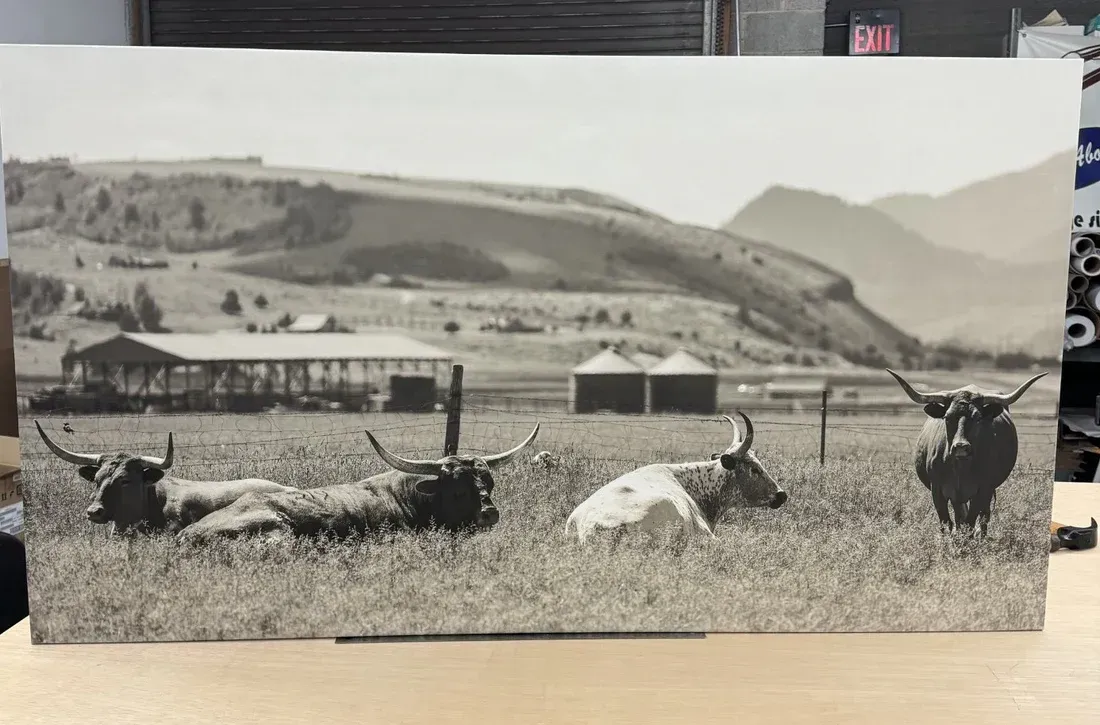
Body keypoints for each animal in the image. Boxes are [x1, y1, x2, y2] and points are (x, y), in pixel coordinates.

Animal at [884, 368, 1048, 535]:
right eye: (947, 417)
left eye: (977, 418)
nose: (961, 446)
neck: (960, 468)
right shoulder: (937, 491)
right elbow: (946, 523)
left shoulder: (982, 490)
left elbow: (970, 522)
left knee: (983, 517)